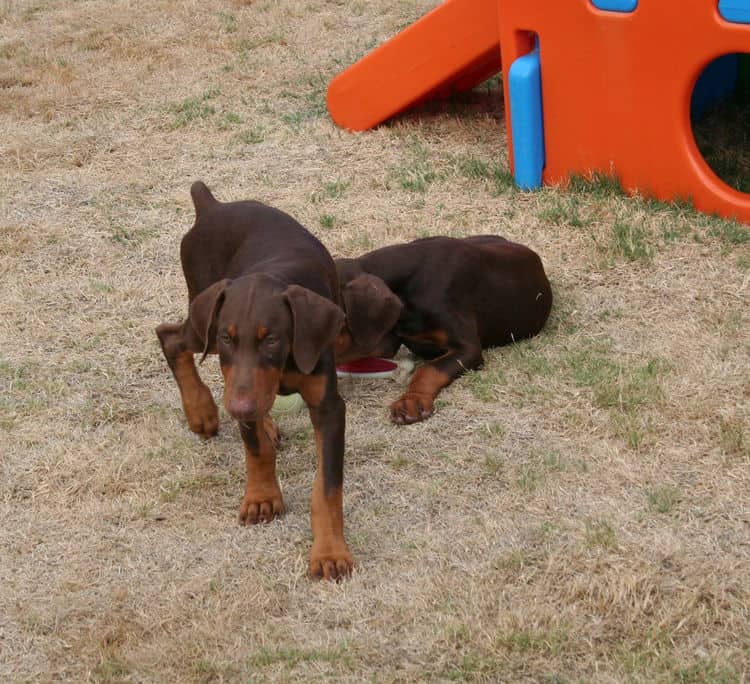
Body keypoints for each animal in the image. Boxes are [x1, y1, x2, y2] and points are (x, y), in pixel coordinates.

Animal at [156, 180, 356, 576]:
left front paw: (329, 553)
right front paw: (263, 497)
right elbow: (256, 450)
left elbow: (327, 486)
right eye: (228, 337)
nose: (237, 407)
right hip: (202, 322)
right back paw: (201, 411)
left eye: (272, 339)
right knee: (170, 338)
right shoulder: (236, 377)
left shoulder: (328, 407)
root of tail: (212, 206)